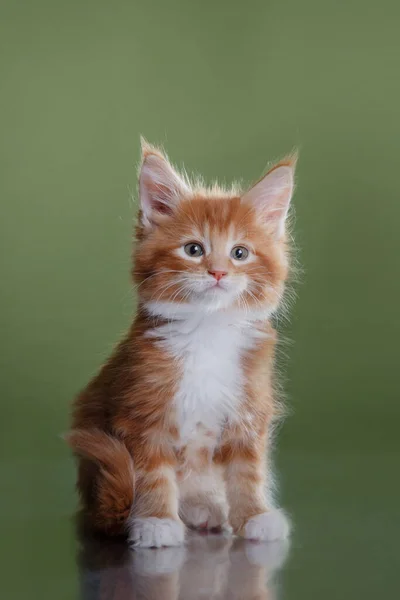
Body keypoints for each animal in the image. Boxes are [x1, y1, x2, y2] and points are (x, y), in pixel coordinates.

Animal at [66, 139, 296, 548]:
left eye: (240, 253)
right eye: (193, 249)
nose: (218, 272)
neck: (208, 330)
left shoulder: (249, 409)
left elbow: (247, 470)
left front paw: (255, 515)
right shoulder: (143, 411)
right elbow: (152, 473)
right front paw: (157, 521)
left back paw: (208, 511)